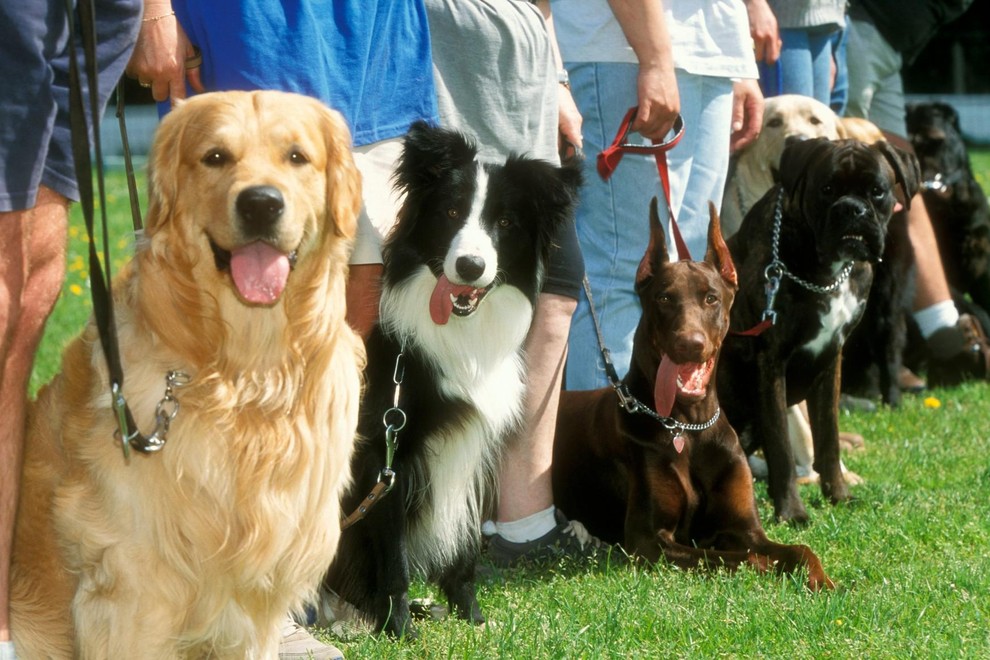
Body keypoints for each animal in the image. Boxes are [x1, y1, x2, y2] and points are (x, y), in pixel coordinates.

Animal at [556, 200, 832, 588]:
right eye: (664, 297)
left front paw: (821, 581)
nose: (691, 344)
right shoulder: (649, 540)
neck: (687, 426)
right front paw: (769, 570)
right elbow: (740, 558)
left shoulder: (746, 527)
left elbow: (798, 549)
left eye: (711, 298)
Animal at [720, 137, 924, 524]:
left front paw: (838, 496)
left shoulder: (830, 360)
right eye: (827, 189)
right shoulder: (771, 364)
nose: (852, 209)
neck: (828, 271)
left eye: (877, 191)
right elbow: (782, 448)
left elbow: (827, 438)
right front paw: (792, 512)